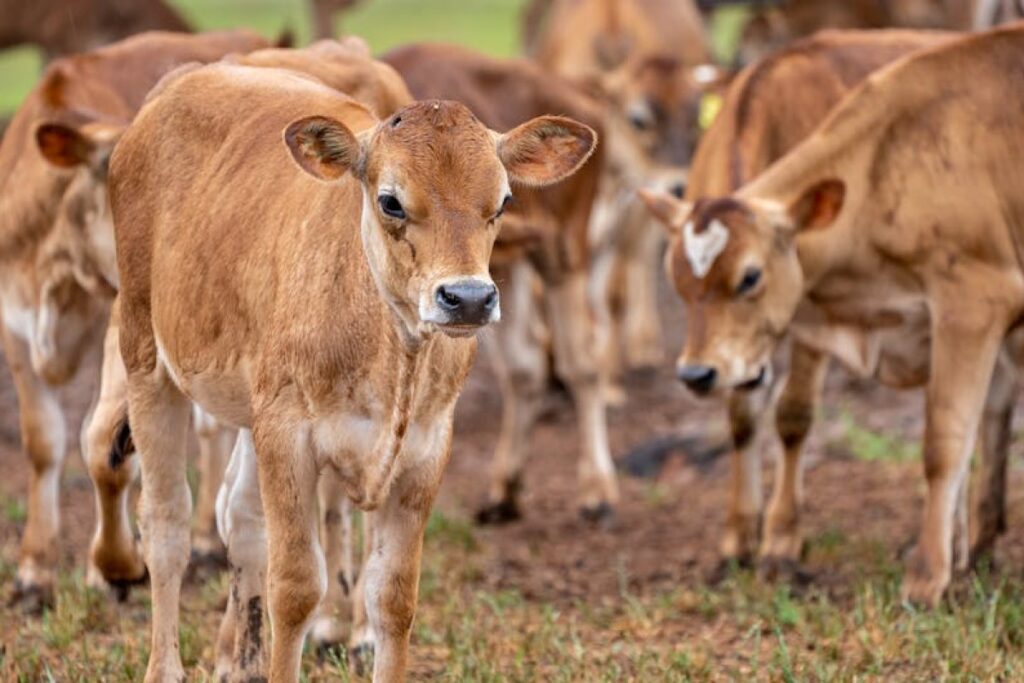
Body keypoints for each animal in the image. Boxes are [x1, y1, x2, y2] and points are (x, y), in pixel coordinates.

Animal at [0, 29, 271, 611]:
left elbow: (102, 444)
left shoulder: (120, 319)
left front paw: (113, 565)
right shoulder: (14, 325)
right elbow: (43, 440)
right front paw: (35, 570)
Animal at [106, 58, 596, 682]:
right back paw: (166, 665)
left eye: (504, 200)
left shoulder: (425, 451)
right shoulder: (287, 435)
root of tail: (185, 78)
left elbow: (392, 596)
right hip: (146, 359)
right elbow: (295, 587)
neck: (391, 357)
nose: (467, 298)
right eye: (391, 201)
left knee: (239, 520)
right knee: (167, 526)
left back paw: (240, 662)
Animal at [639, 23, 1024, 605]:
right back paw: (976, 540)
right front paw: (738, 540)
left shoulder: (973, 301)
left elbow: (928, 437)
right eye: (677, 280)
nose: (695, 374)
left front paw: (786, 545)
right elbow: (743, 416)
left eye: (750, 276)